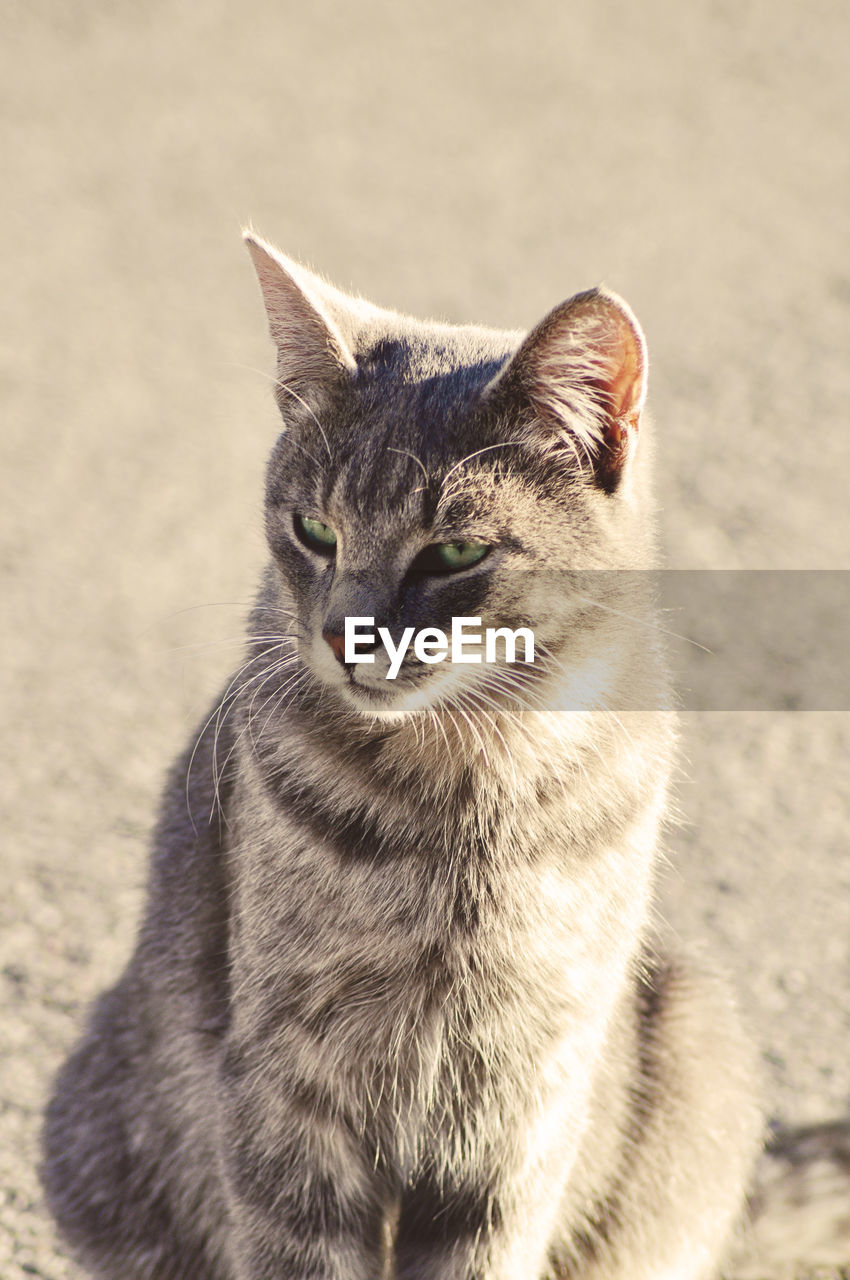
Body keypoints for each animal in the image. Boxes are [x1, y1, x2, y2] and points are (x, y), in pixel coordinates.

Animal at [43, 232, 768, 1280]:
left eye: (455, 552)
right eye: (314, 530)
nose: (345, 636)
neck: (465, 786)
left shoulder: (523, 1104)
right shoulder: (289, 1084)